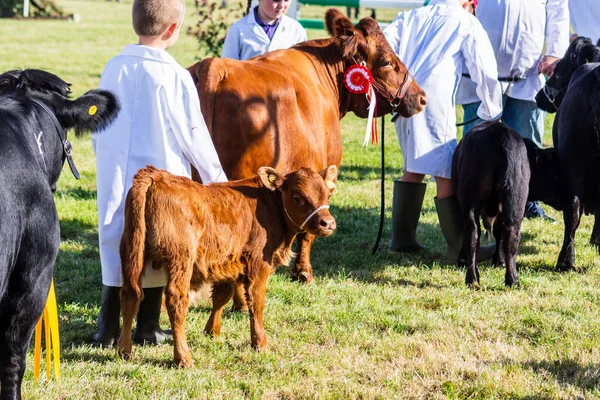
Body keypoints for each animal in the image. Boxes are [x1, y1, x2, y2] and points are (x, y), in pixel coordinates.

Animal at [116, 164, 338, 368]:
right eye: (297, 197)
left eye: (328, 194)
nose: (327, 223)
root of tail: (155, 175)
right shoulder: (259, 262)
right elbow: (256, 301)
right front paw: (260, 343)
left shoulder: (225, 263)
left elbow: (222, 296)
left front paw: (211, 331)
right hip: (181, 259)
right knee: (176, 301)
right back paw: (183, 358)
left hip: (131, 251)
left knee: (130, 294)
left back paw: (124, 351)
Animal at [189, 7, 426, 310]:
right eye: (386, 61)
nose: (421, 98)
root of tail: (214, 67)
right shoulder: (322, 173)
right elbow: (309, 229)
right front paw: (303, 273)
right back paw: (241, 302)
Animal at [454, 120, 564, 286]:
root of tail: (497, 129)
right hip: (513, 200)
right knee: (508, 234)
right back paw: (510, 279)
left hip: (472, 201)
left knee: (474, 233)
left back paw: (474, 278)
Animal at [536, 37, 600, 270]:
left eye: (559, 69)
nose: (538, 97)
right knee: (573, 210)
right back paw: (566, 262)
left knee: (572, 209)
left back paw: (565, 261)